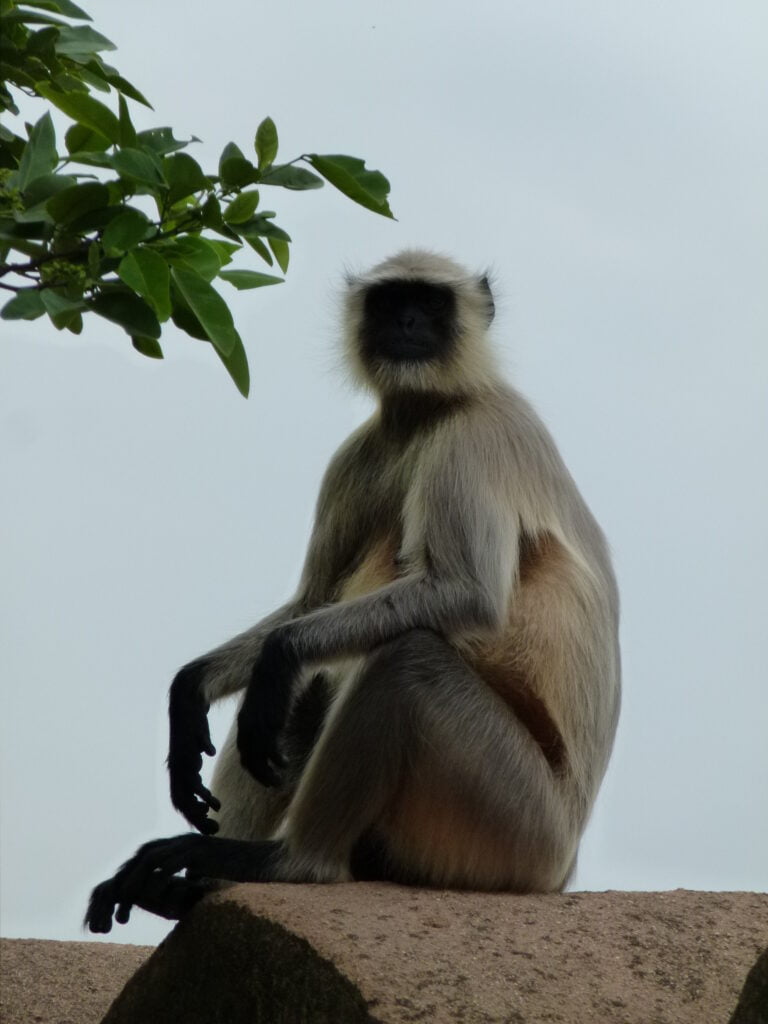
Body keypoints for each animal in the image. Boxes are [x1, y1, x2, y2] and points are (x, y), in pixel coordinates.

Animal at [87, 249, 622, 937]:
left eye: (431, 303)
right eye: (390, 302)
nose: (409, 322)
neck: (425, 414)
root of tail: (562, 869)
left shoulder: (478, 433)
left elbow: (468, 595)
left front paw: (279, 656)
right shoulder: (358, 456)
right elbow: (312, 602)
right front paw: (191, 691)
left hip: (514, 828)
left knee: (404, 661)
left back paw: (288, 862)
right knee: (313, 685)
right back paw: (190, 887)